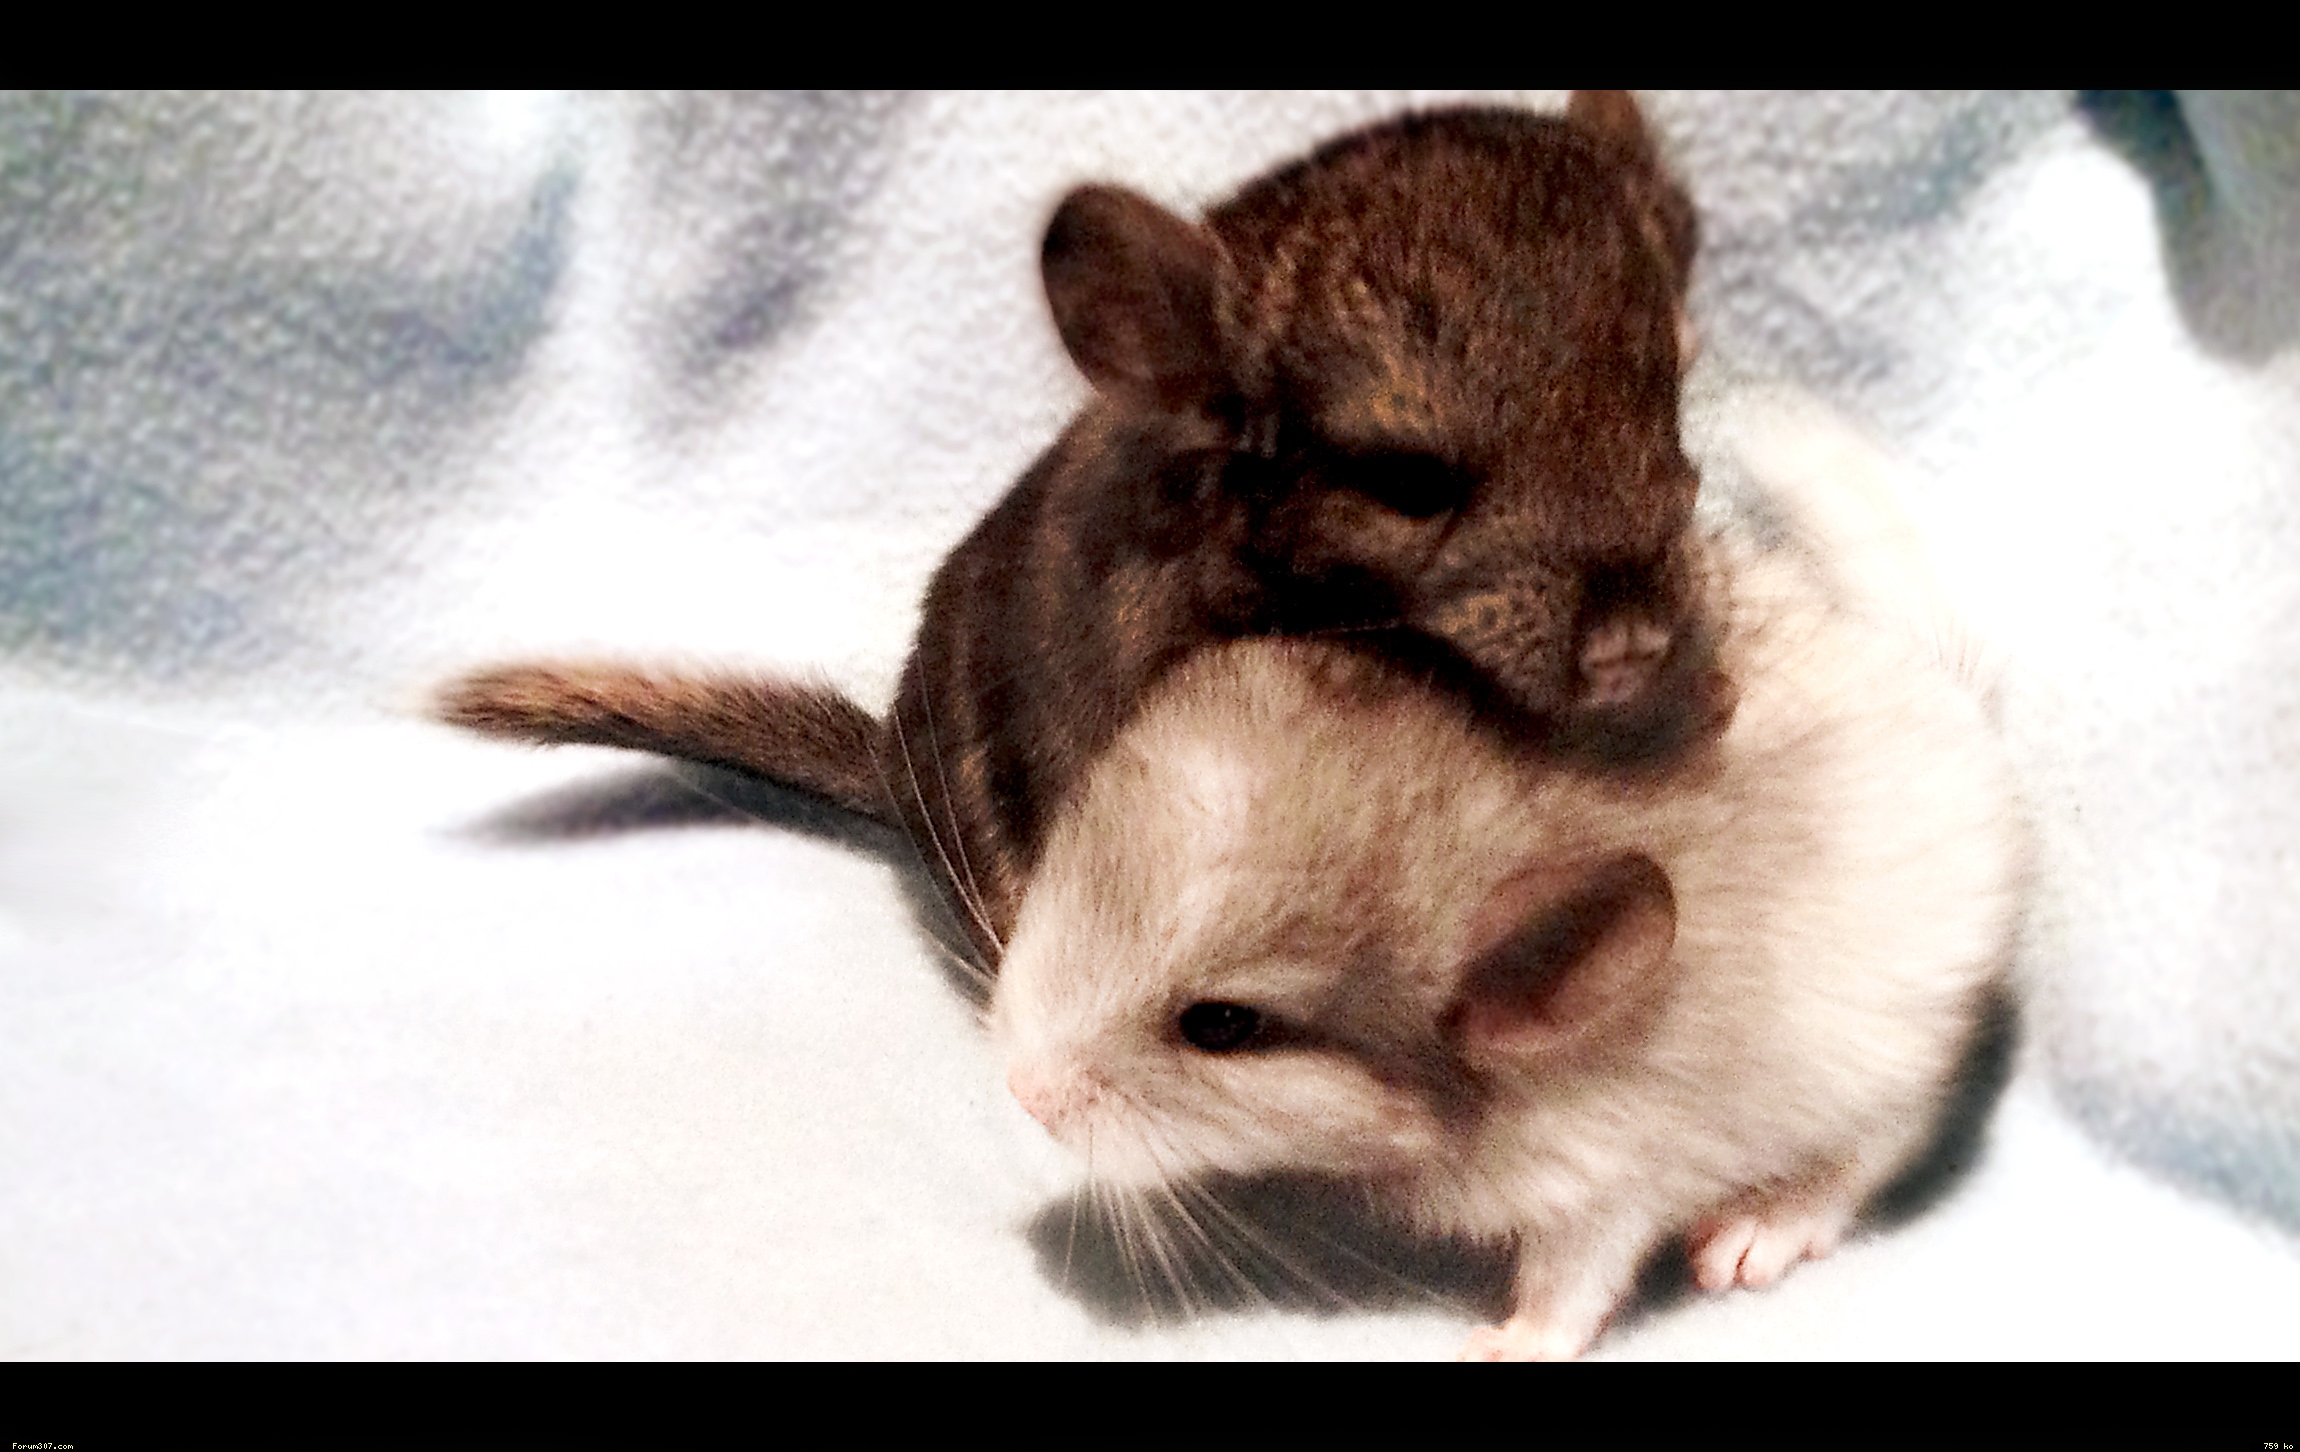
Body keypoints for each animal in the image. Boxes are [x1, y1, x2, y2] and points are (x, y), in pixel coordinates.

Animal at [990, 423, 2026, 1359]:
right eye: (1070, 855)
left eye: (1222, 1027)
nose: (1020, 1091)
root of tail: (1960, 715)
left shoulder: (1611, 1171)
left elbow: (1576, 1283)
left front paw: (1499, 1346)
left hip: (1882, 1076)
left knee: (1867, 1160)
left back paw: (1755, 1234)